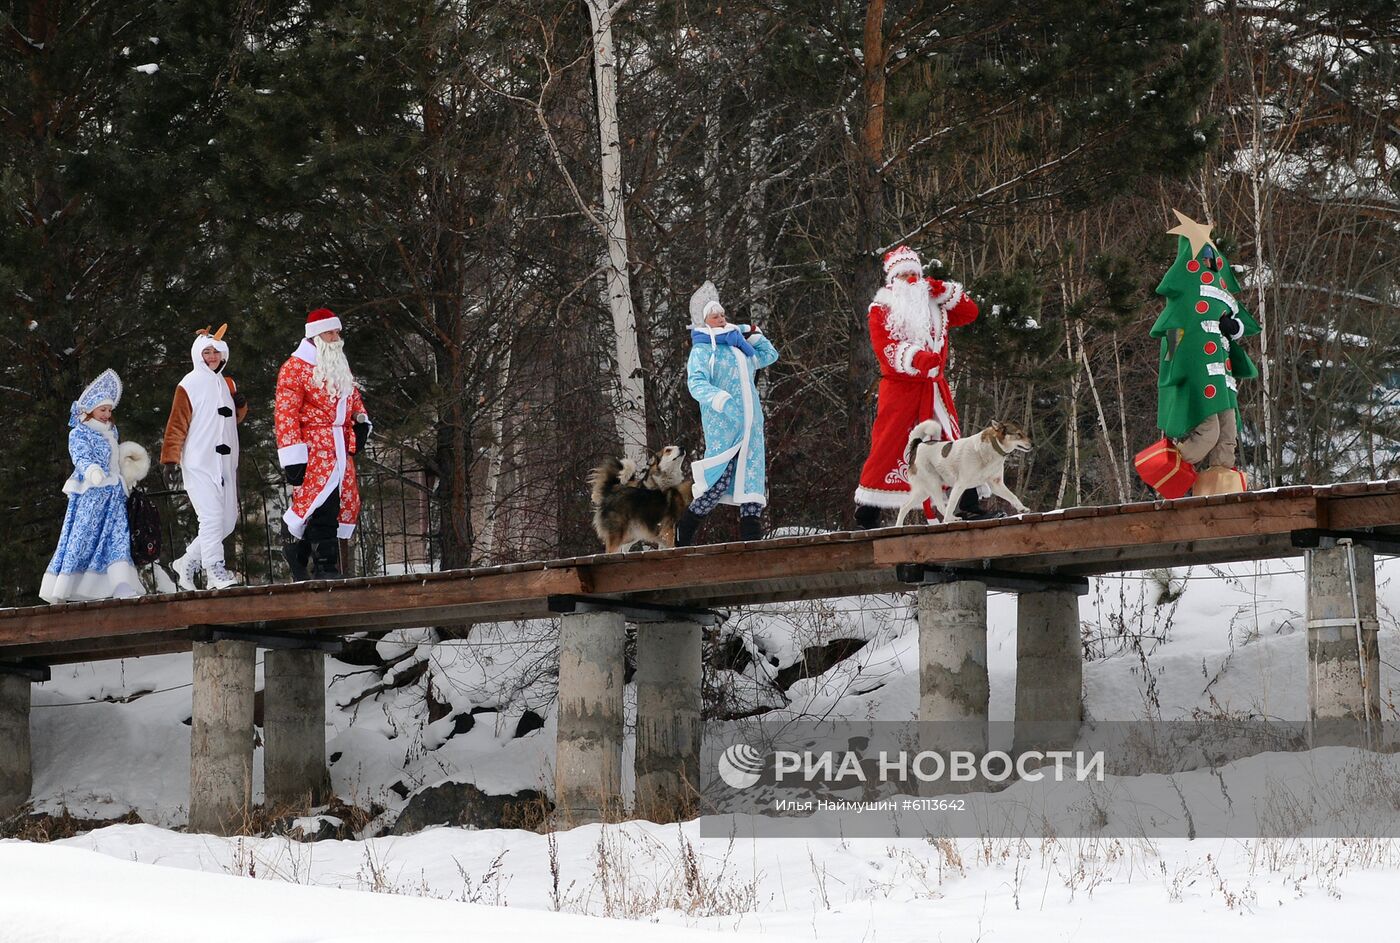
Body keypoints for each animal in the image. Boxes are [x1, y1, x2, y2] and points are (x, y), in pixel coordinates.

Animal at [890, 419, 1036, 526]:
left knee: (904, 507)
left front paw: (1022, 509)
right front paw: (949, 520)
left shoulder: (996, 484)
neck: (991, 450)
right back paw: (952, 518)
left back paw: (898, 526)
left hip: (923, 491)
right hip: (933, 484)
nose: (1033, 444)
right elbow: (952, 504)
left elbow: (1012, 497)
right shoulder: (961, 484)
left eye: (1023, 433)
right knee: (941, 507)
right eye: (1019, 434)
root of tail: (918, 445)